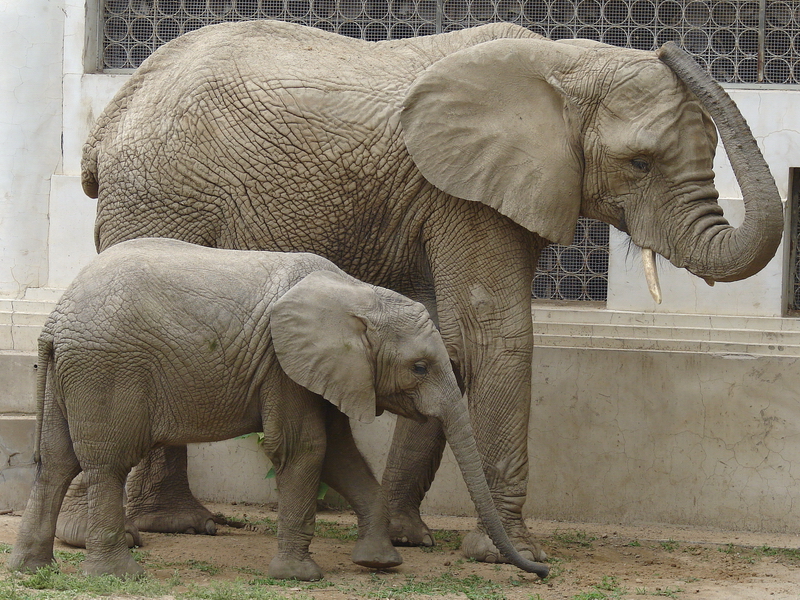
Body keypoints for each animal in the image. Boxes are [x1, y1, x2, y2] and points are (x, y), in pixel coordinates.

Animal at [7, 238, 550, 580]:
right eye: (419, 367)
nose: (542, 570)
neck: (356, 292)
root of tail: (54, 319)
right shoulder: (281, 365)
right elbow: (303, 449)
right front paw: (300, 577)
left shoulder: (322, 369)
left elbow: (341, 456)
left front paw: (380, 564)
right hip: (106, 369)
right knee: (106, 464)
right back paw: (118, 576)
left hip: (71, 373)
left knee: (55, 462)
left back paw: (32, 569)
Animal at [73, 21, 784, 563]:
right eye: (639, 164)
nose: (672, 47)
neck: (565, 62)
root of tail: (110, 119)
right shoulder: (464, 195)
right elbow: (494, 336)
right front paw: (504, 555)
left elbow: (451, 342)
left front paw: (407, 538)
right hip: (161, 195)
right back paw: (123, 536)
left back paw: (177, 525)